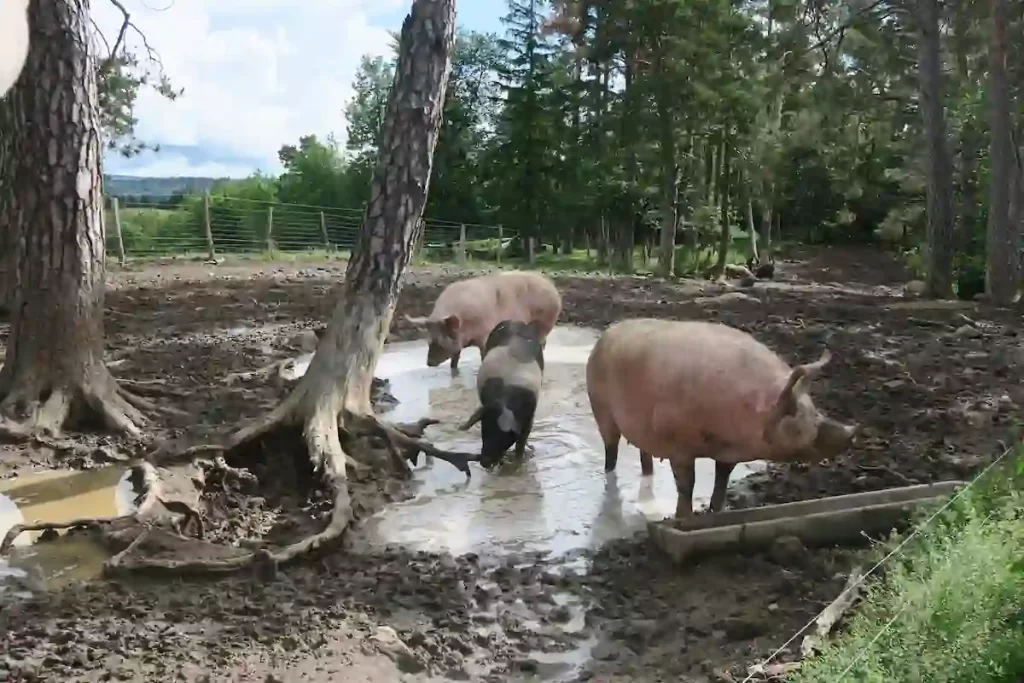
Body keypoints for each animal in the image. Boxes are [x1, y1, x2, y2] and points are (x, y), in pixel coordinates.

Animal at [403, 270, 565, 370]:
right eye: (428, 340)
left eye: (442, 339)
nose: (429, 363)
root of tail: (551, 285)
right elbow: (455, 359)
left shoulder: (485, 335)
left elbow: (483, 355)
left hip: (546, 321)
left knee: (541, 343)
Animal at [585, 321, 856, 518]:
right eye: (796, 416)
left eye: (815, 410)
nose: (852, 431)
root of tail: (605, 335)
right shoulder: (678, 444)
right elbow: (687, 484)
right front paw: (683, 518)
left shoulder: (728, 454)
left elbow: (722, 481)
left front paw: (717, 511)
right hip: (600, 408)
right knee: (611, 449)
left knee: (645, 455)